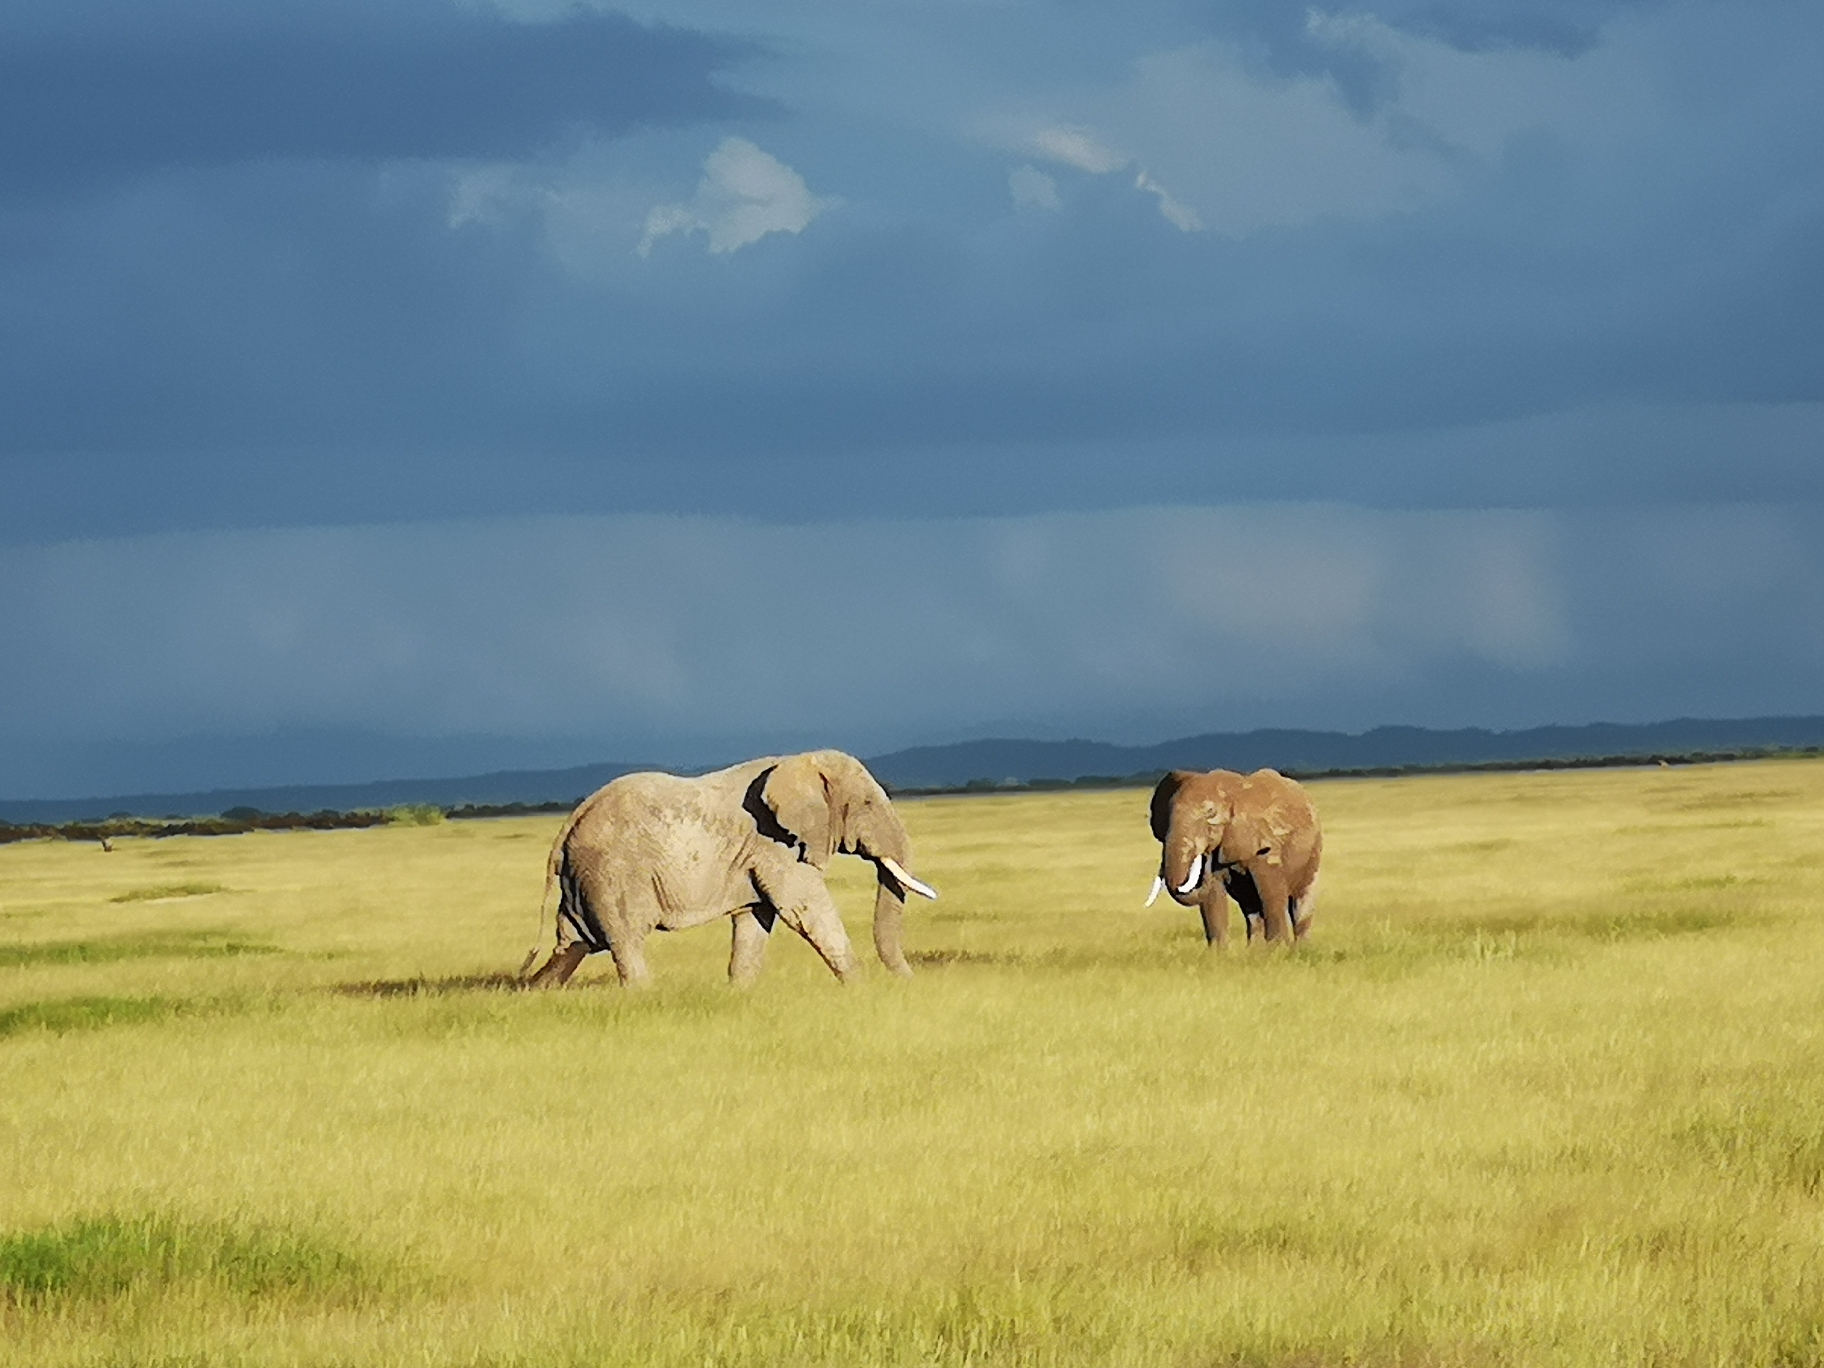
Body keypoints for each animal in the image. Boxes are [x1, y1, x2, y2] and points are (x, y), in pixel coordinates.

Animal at [518, 751, 933, 984]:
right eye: (867, 803)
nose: (910, 983)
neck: (799, 762)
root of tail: (572, 819)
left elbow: (755, 918)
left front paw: (740, 992)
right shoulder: (775, 843)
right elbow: (806, 911)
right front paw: (862, 989)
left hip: (584, 876)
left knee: (573, 942)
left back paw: (535, 993)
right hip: (613, 872)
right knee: (624, 940)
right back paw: (645, 996)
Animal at [1145, 773, 1320, 955]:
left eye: (1210, 813)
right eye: (1167, 815)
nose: (1204, 852)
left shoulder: (1265, 843)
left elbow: (1270, 889)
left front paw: (1276, 949)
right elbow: (1214, 894)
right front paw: (1218, 953)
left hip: (1313, 849)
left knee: (1301, 899)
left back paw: (1301, 948)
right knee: (1250, 905)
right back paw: (1254, 949)